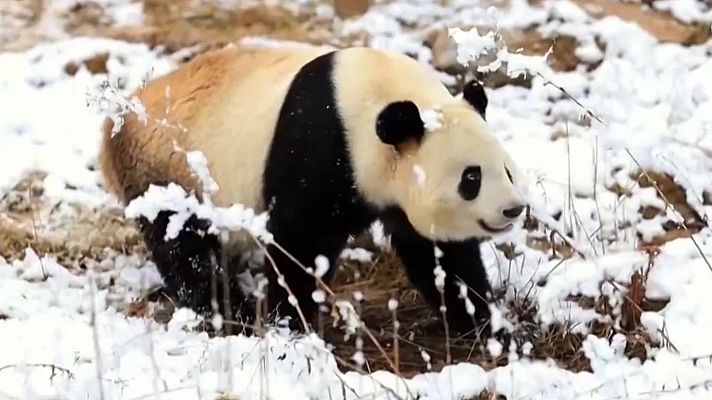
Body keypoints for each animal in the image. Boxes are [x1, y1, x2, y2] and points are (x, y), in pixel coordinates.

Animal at [99, 42, 525, 338]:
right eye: (471, 178)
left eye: (507, 170)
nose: (512, 210)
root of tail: (116, 123)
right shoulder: (320, 149)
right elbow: (299, 242)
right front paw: (290, 321)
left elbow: (442, 259)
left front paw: (486, 326)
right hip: (170, 169)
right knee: (183, 244)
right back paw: (229, 309)